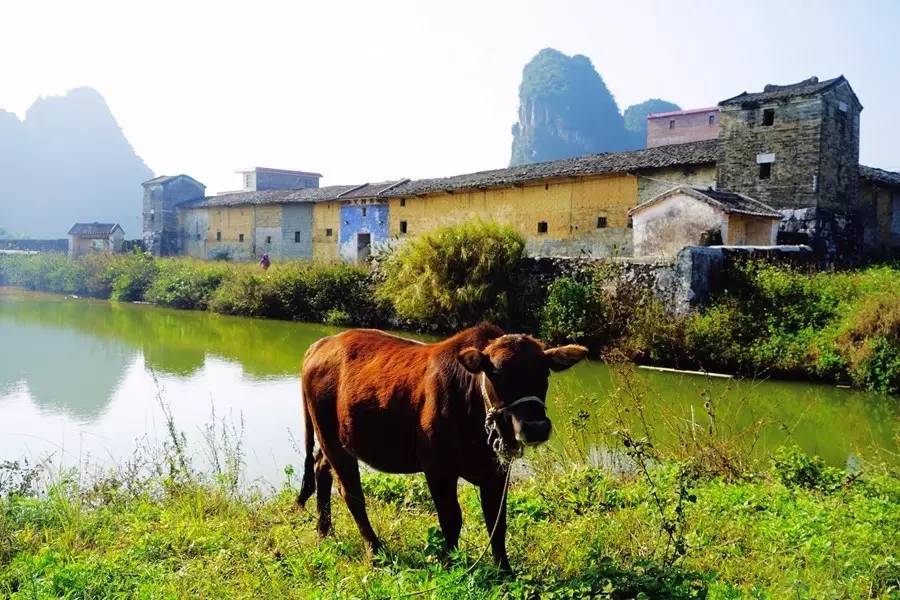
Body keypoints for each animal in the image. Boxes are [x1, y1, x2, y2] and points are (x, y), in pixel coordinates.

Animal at [298, 322, 592, 568]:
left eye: (545, 373)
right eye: (496, 373)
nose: (536, 426)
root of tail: (322, 343)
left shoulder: (497, 472)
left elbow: (497, 522)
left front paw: (504, 571)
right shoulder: (437, 468)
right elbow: (451, 519)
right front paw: (452, 563)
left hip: (337, 440)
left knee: (321, 468)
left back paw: (324, 531)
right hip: (331, 438)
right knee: (351, 493)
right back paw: (374, 548)